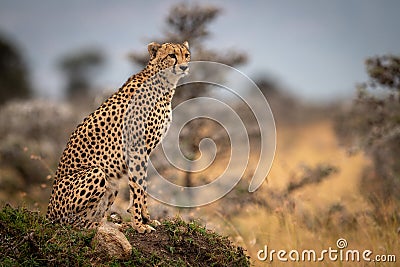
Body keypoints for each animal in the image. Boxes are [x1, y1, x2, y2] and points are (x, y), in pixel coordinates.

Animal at [47, 40, 191, 233]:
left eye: (186, 55)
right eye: (172, 55)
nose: (184, 67)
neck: (163, 83)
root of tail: (47, 213)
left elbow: (143, 185)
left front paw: (147, 218)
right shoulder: (137, 148)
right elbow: (138, 186)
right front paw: (139, 225)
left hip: (112, 183)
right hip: (96, 173)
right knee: (72, 224)